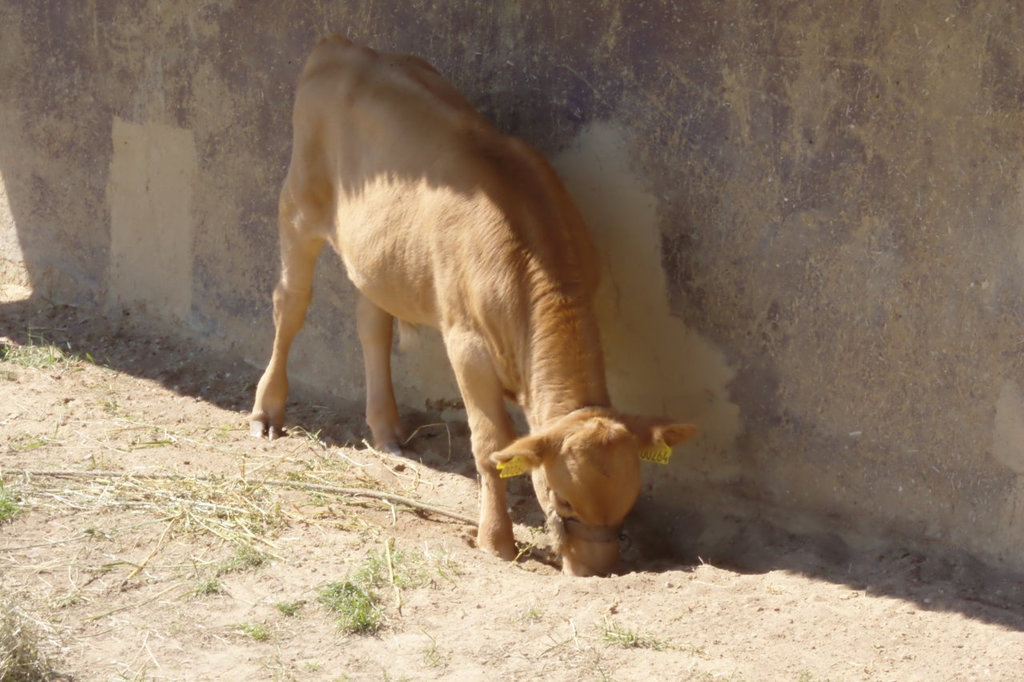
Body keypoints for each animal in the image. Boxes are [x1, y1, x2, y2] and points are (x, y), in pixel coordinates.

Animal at [248, 34, 696, 569]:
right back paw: (267, 413)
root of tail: (341, 46)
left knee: (371, 324)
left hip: (379, 252)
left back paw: (387, 433)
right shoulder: (466, 344)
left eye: (627, 504)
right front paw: (496, 540)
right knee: (290, 304)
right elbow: (490, 445)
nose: (596, 571)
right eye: (561, 500)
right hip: (299, 205)